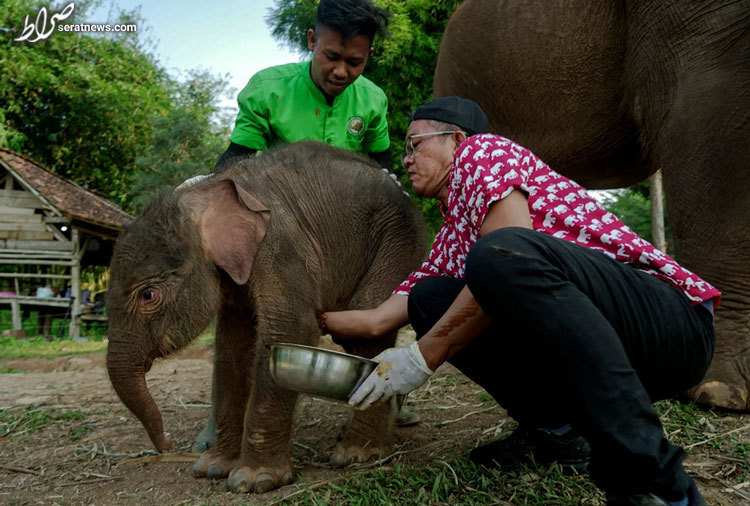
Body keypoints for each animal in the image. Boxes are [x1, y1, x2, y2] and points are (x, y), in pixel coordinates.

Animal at [108, 141, 432, 494]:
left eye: (148, 295)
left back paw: (358, 453)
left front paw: (254, 480)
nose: (165, 443)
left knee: (366, 322)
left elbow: (289, 330)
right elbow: (232, 348)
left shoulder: (281, 244)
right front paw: (212, 468)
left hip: (398, 237)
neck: (204, 196)